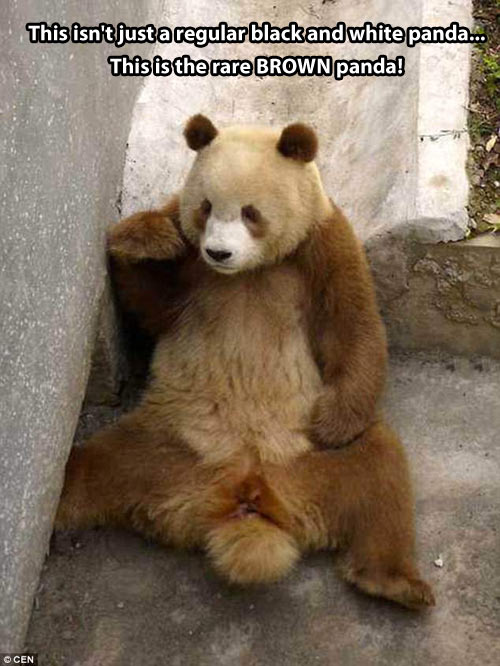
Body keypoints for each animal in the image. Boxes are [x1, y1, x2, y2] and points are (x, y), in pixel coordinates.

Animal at [56, 115, 435, 610]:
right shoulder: (191, 263)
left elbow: (351, 326)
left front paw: (332, 421)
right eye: (206, 208)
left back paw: (393, 582)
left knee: (379, 471)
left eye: (250, 213)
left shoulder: (320, 244)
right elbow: (154, 304)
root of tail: (243, 494)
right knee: (99, 465)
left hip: (307, 461)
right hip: (166, 441)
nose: (219, 252)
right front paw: (145, 238)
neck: (249, 272)